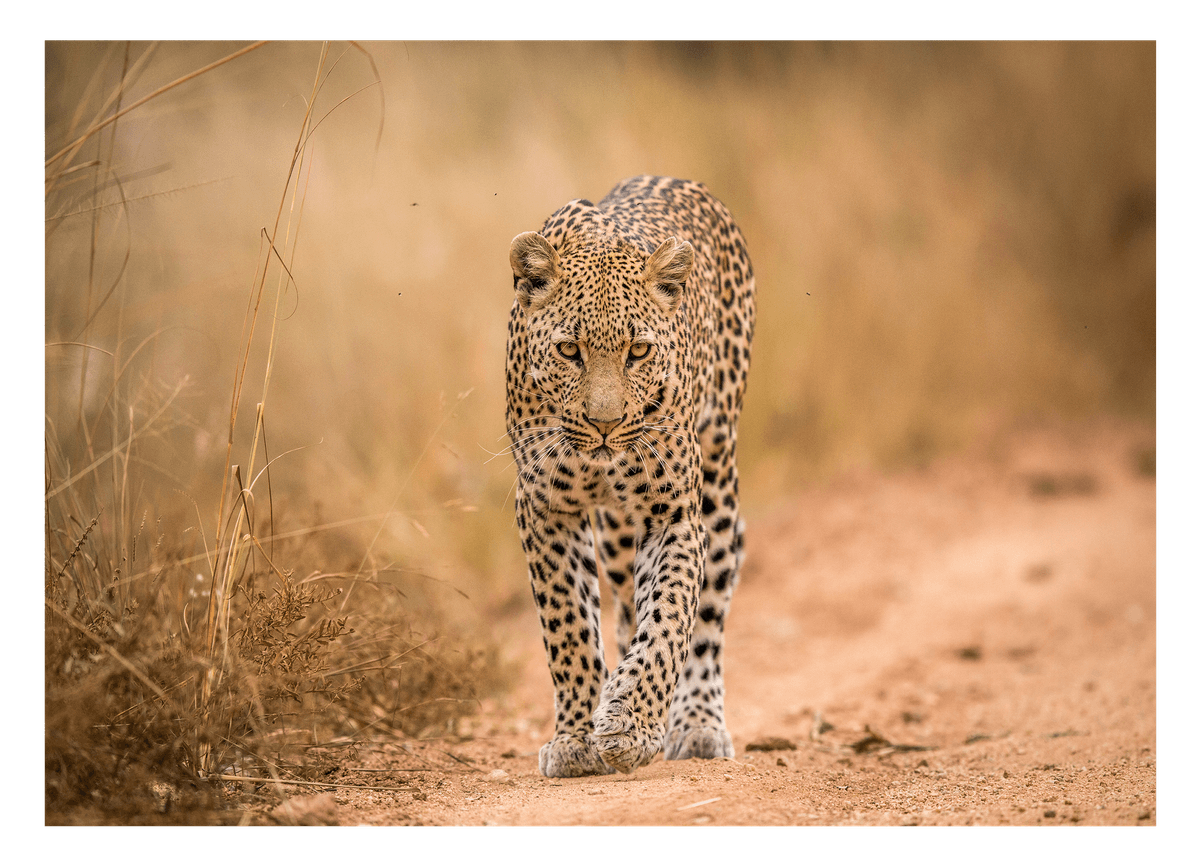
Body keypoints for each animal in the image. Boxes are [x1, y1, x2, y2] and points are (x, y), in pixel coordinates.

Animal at [505, 175, 756, 777]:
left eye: (638, 350)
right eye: (568, 350)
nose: (604, 424)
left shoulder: (673, 513)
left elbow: (668, 618)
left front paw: (632, 724)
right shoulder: (546, 509)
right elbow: (569, 626)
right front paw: (576, 738)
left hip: (717, 478)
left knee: (708, 612)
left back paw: (696, 724)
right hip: (617, 535)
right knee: (621, 607)